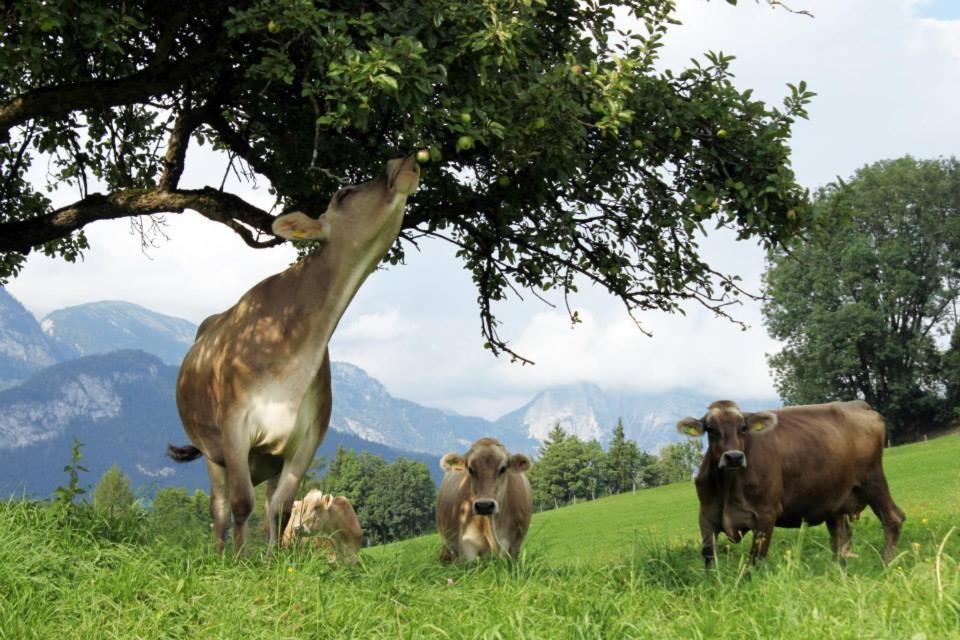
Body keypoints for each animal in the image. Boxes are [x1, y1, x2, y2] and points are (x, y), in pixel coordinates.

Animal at [168, 158, 420, 552]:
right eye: (344, 193)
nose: (400, 162)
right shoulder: (235, 426)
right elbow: (242, 503)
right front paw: (239, 560)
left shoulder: (308, 437)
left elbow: (282, 509)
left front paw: (275, 559)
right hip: (212, 451)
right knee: (220, 508)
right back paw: (222, 553)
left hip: (269, 457)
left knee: (266, 503)